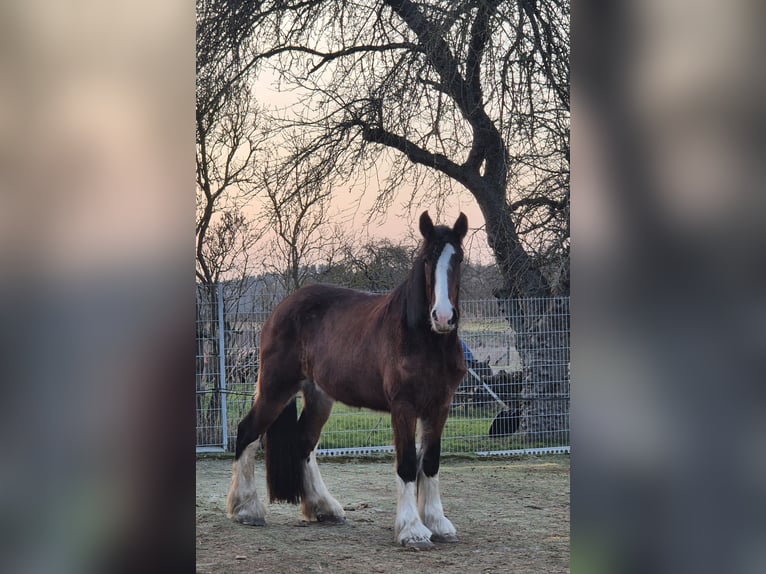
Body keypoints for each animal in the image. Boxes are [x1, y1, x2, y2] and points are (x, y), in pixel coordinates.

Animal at [226, 211, 468, 549]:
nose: (443, 317)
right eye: (427, 259)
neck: (424, 340)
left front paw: (438, 524)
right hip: (277, 386)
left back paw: (323, 508)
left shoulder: (440, 406)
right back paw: (247, 510)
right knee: (248, 432)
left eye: (457, 258)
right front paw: (412, 530)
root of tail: (281, 309)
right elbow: (407, 463)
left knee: (304, 442)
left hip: (318, 395)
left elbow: (430, 463)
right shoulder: (403, 407)